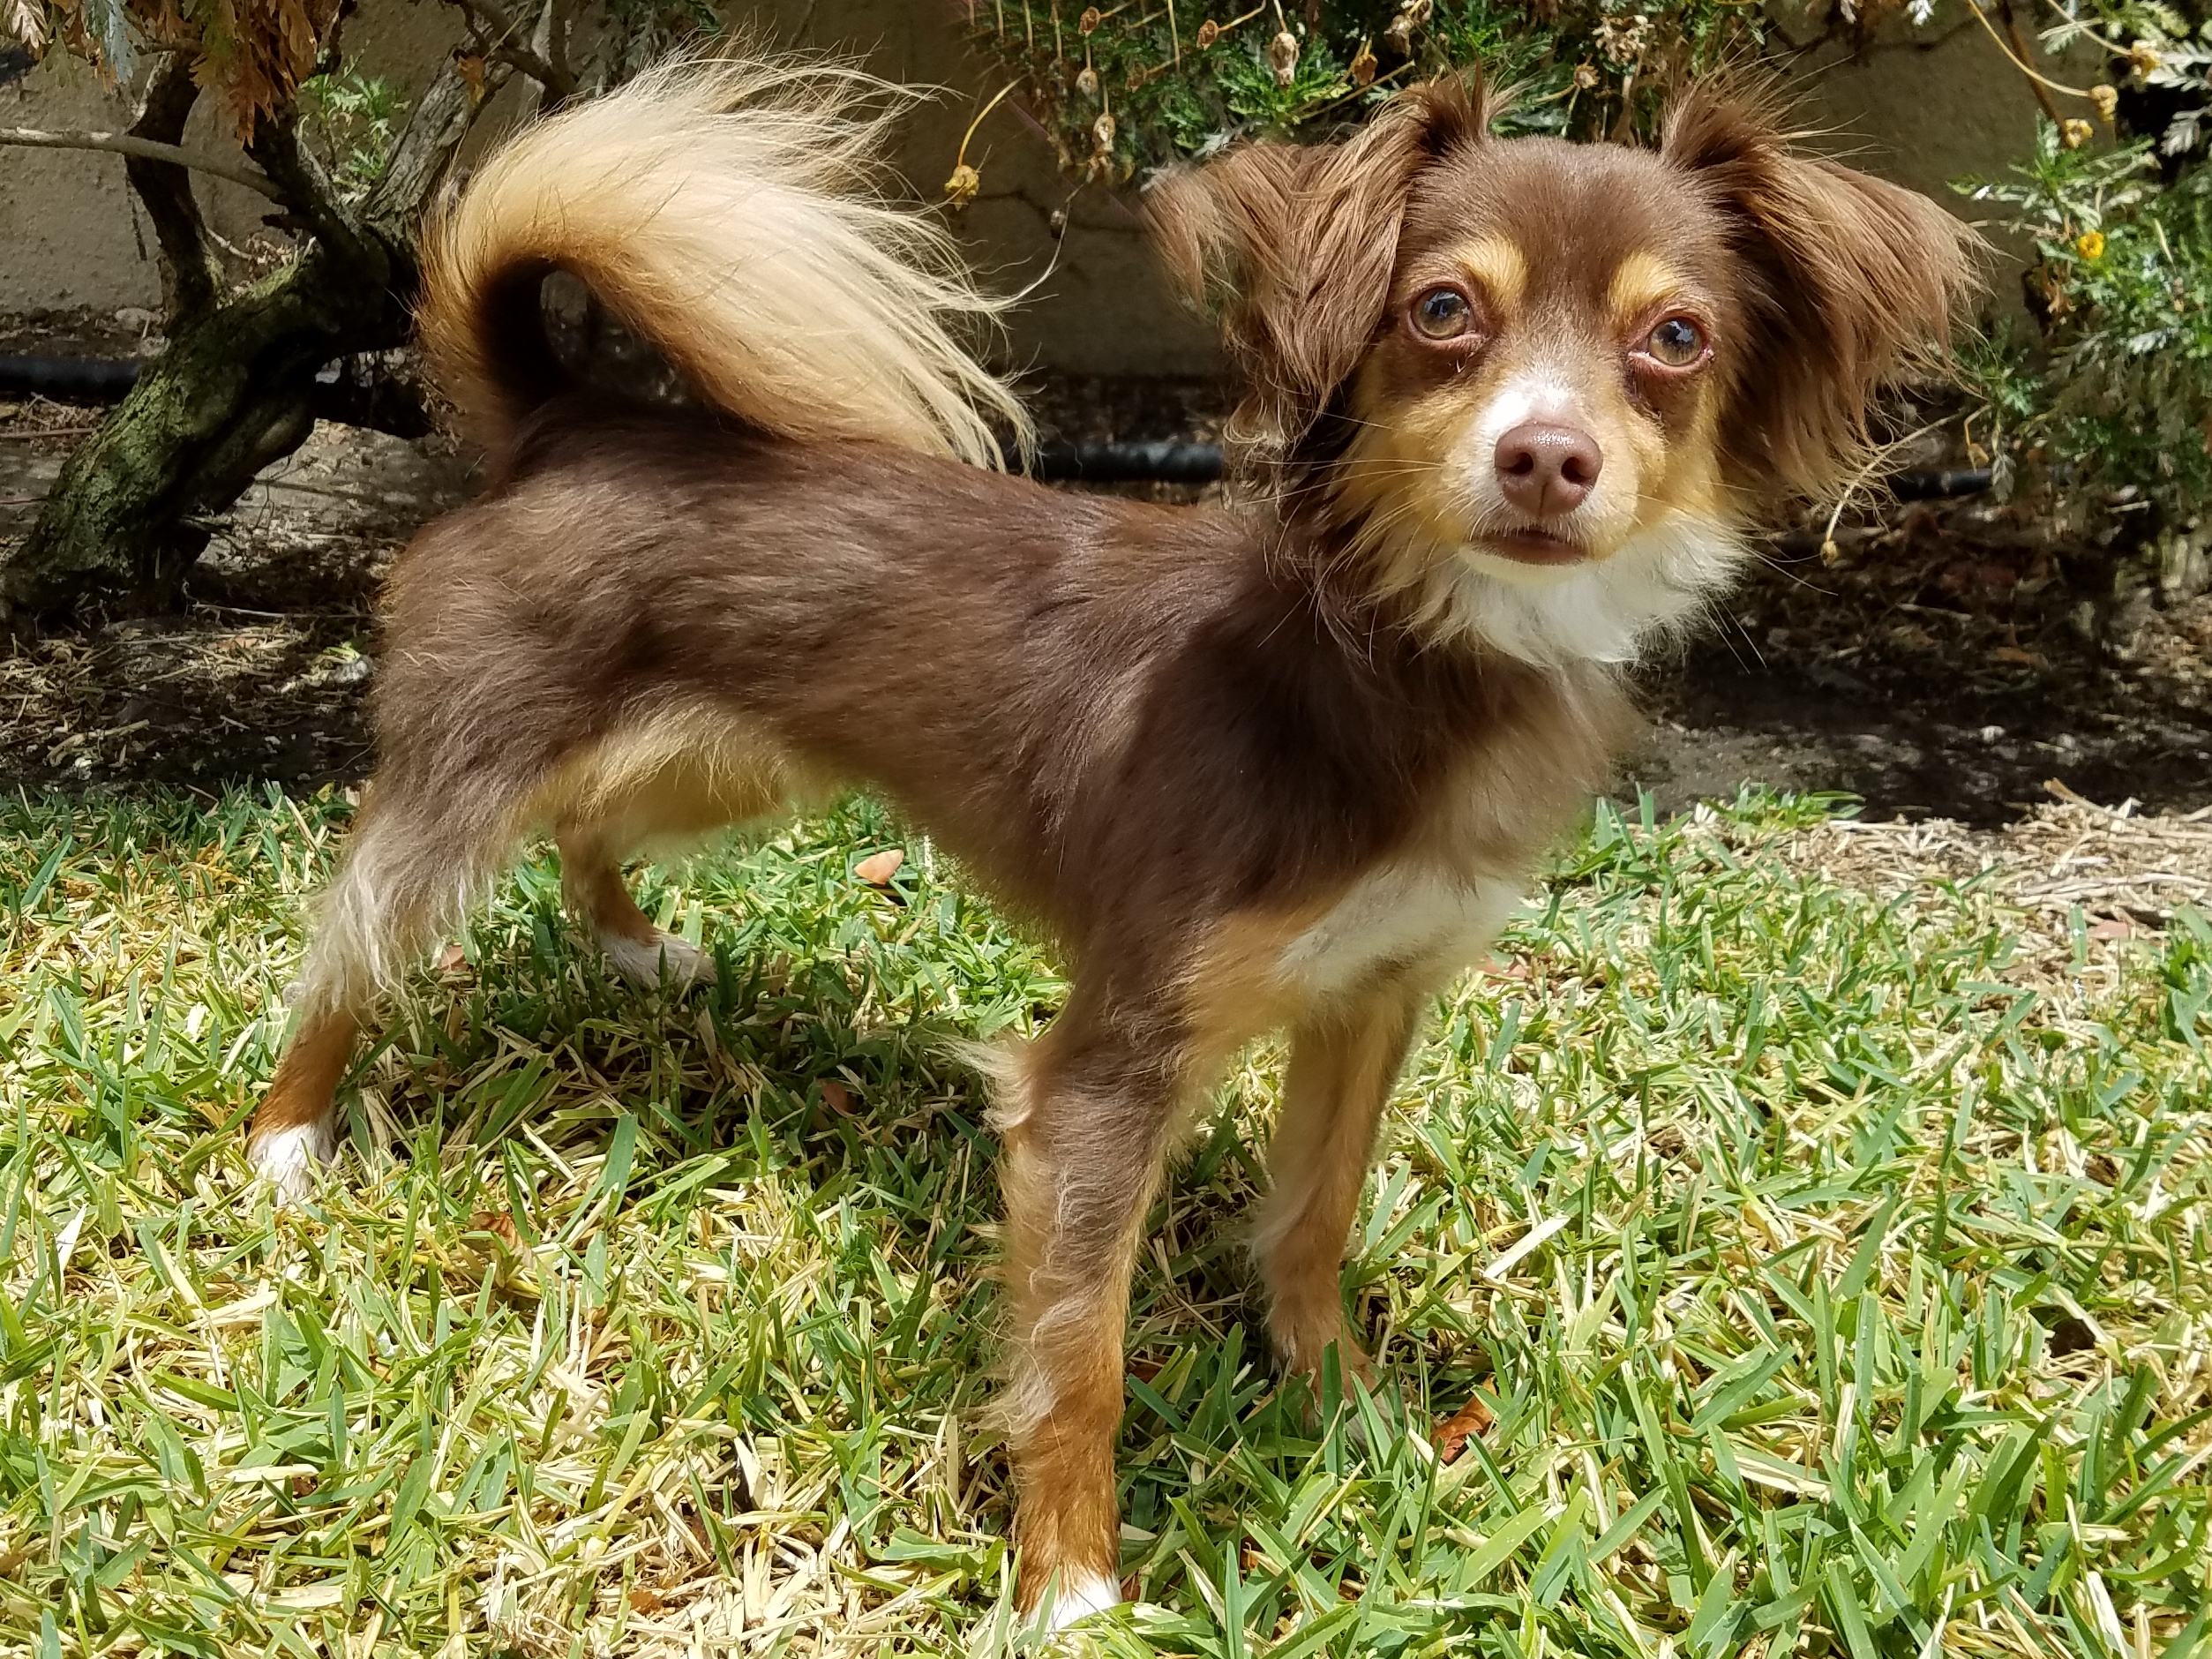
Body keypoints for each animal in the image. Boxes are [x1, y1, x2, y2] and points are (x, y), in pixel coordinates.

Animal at [242, 58, 1973, 1627]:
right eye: (1438, 313)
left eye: (1674, 340)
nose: (1547, 457)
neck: (1385, 663)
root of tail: (563, 424)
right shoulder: (1109, 1072)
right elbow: (1078, 1356)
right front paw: (1067, 1579)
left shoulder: (1374, 998)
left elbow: (1312, 1219)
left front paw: (1341, 1403)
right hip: (473, 780)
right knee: (350, 941)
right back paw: (285, 1140)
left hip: (718, 765)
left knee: (593, 821)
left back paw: (625, 943)